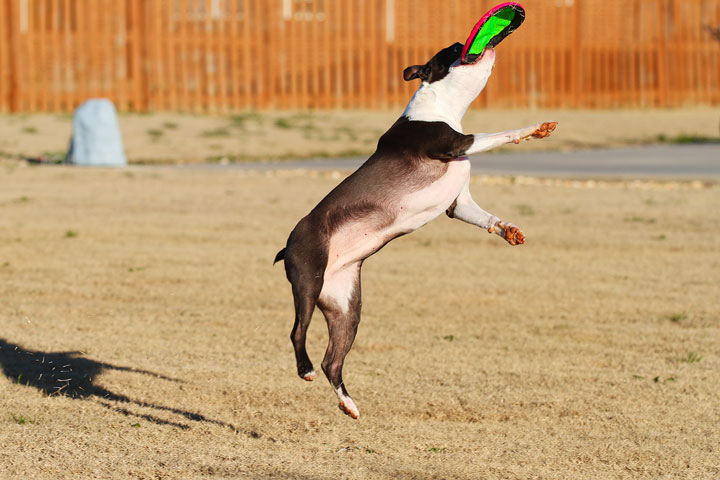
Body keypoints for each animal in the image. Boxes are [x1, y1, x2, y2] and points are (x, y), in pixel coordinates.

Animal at [276, 42, 556, 416]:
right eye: (452, 50)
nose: (466, 43)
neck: (444, 105)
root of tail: (287, 245)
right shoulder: (455, 144)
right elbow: (496, 134)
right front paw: (533, 129)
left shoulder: (458, 204)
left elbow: (484, 217)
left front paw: (507, 229)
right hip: (308, 278)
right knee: (297, 331)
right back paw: (304, 369)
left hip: (346, 306)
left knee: (332, 360)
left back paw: (348, 403)